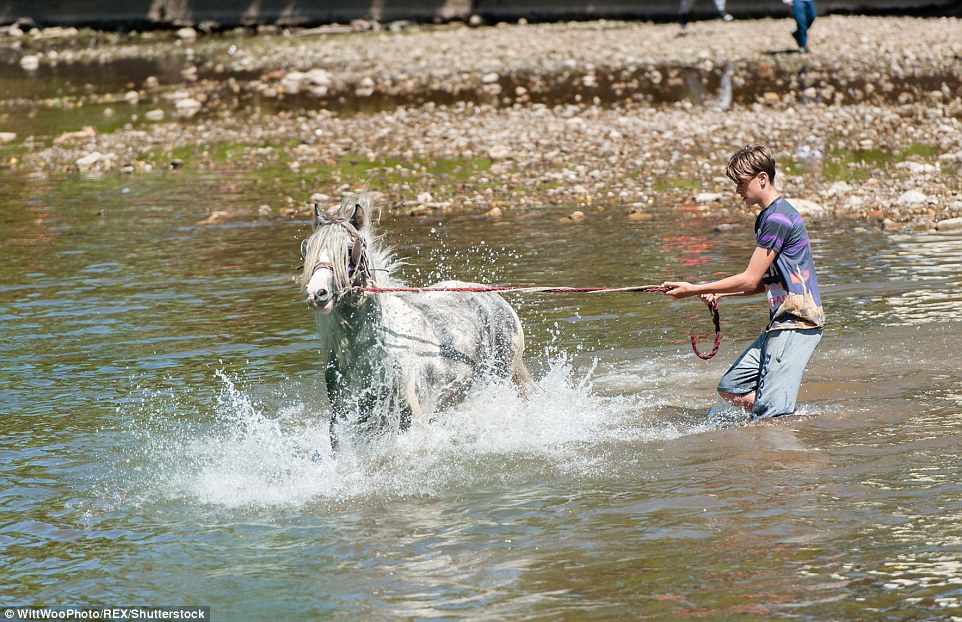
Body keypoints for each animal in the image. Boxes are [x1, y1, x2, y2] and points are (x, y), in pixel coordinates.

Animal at [296, 193, 528, 450]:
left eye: (348, 249)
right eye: (308, 251)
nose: (317, 294)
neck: (369, 351)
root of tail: (496, 298)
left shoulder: (409, 416)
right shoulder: (344, 419)